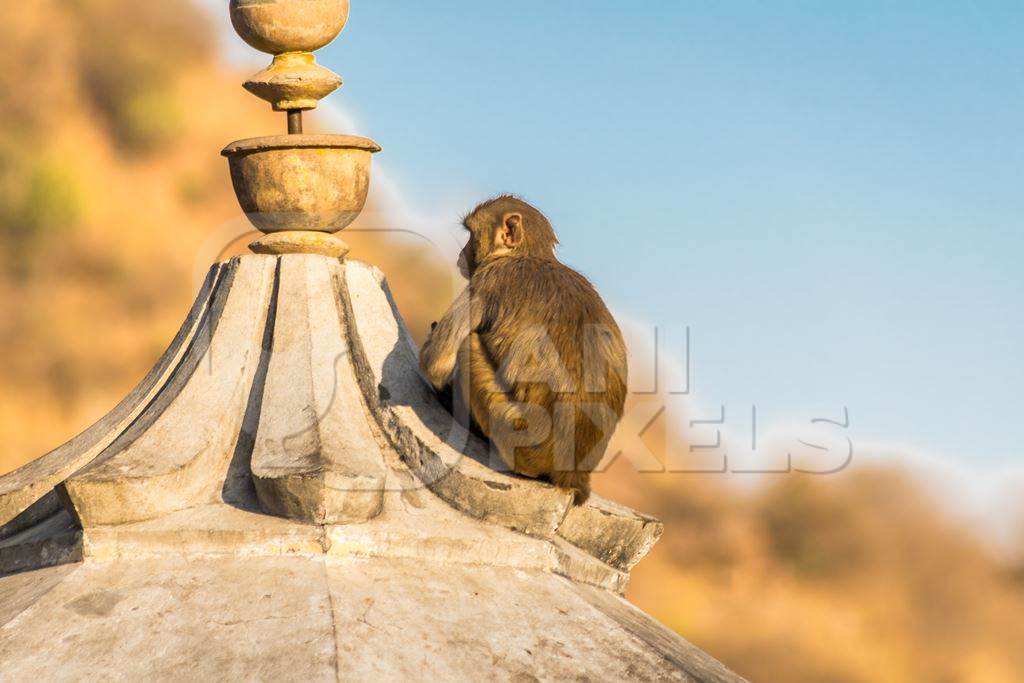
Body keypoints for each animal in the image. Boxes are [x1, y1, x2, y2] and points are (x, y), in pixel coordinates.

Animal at [419, 194, 626, 505]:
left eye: (471, 236)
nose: (461, 254)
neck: (528, 255)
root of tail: (571, 474)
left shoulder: (488, 279)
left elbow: (436, 361)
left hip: (512, 432)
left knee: (468, 345)